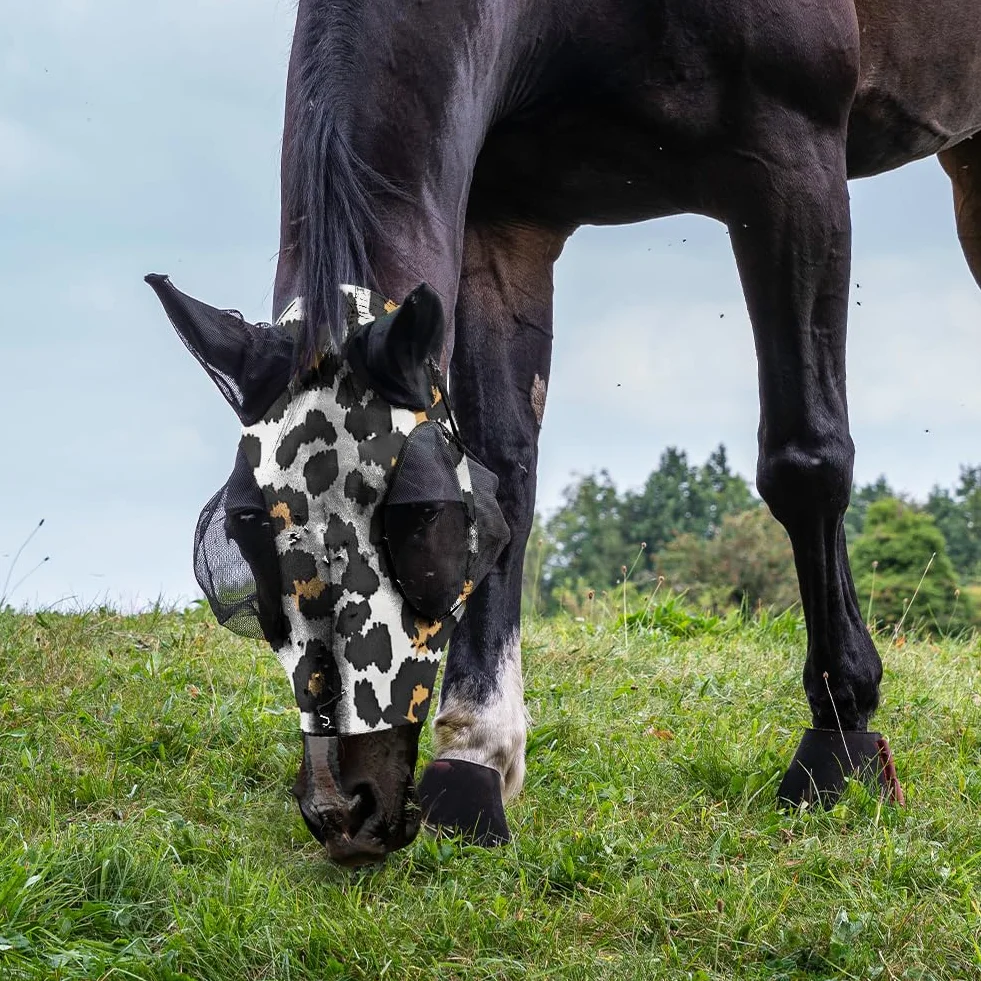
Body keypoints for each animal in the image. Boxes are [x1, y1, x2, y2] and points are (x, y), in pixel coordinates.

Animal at [151, 0, 981, 865]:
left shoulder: (793, 163)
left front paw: (838, 734)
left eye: (422, 518)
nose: (344, 805)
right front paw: (475, 755)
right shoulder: (504, 219)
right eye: (245, 525)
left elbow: (805, 458)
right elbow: (507, 467)